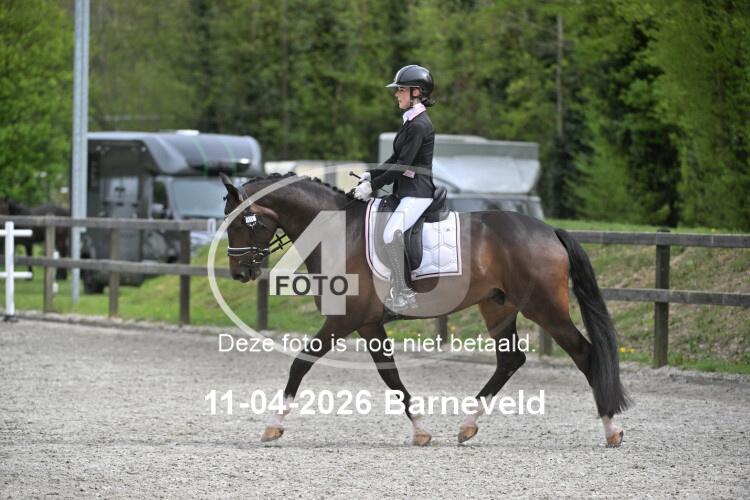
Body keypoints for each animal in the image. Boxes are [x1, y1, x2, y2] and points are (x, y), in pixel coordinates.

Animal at [219, 172, 630, 447]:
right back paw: (467, 426)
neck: (338, 233)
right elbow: (391, 377)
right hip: (498, 307)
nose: (239, 272)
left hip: (545, 308)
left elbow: (300, 363)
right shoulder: (368, 323)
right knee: (510, 360)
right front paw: (421, 430)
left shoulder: (344, 319)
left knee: (585, 353)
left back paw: (611, 429)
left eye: (240, 222)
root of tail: (548, 231)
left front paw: (273, 425)